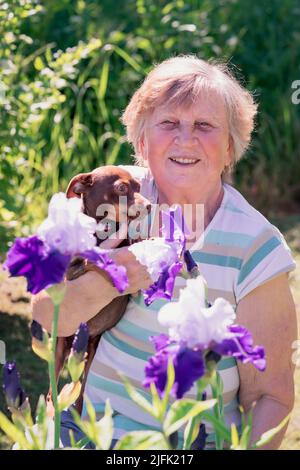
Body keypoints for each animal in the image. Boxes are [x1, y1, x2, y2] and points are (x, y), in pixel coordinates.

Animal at [46, 165, 151, 414]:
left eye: (138, 187)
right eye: (121, 188)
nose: (149, 205)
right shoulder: (71, 271)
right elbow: (92, 258)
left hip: (91, 351)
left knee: (81, 390)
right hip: (59, 347)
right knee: (52, 390)